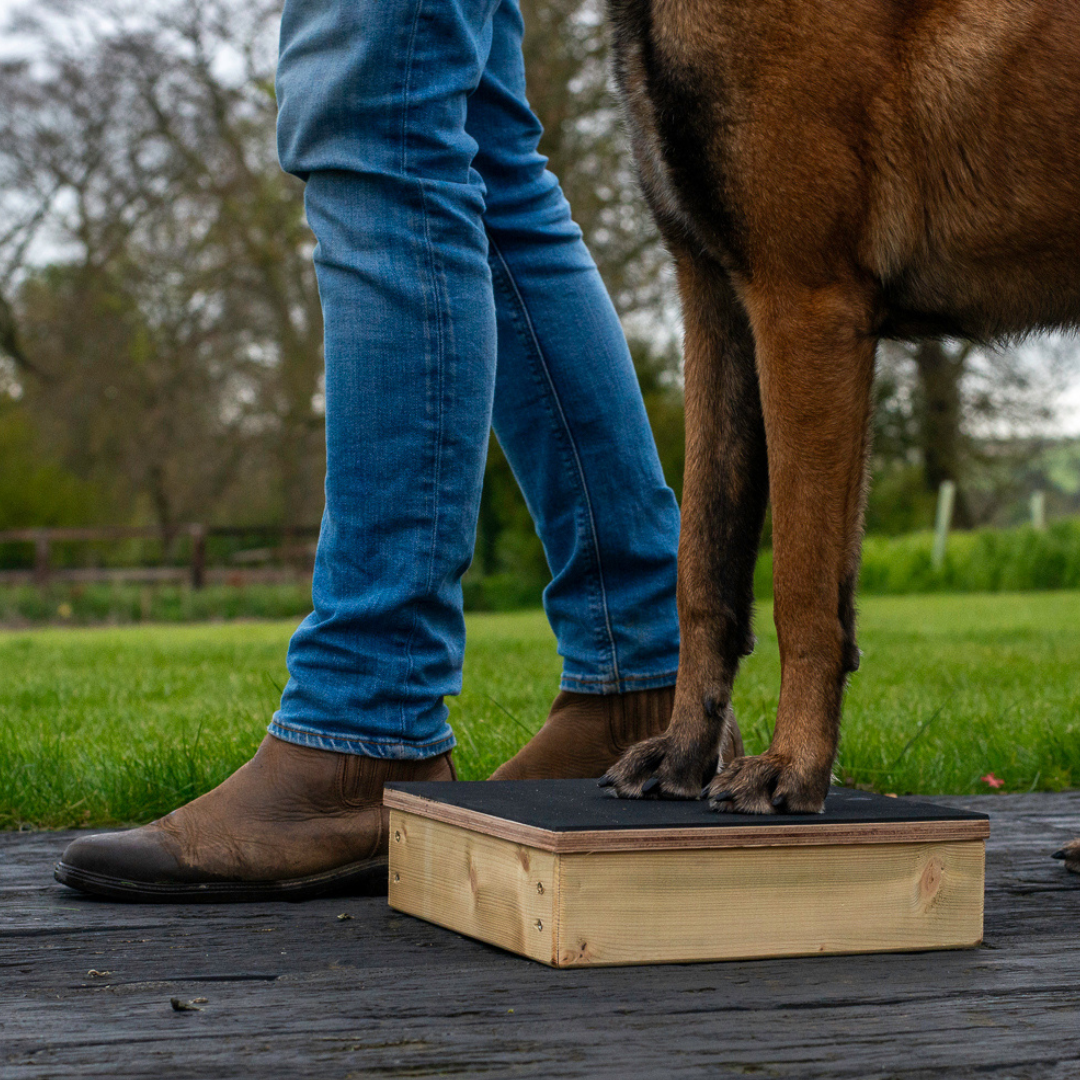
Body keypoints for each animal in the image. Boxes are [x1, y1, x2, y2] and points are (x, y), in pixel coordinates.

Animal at [604, 0, 1080, 859]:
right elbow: (706, 564)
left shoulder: (803, 306)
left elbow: (799, 585)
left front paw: (790, 767)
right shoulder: (718, 301)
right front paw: (686, 752)